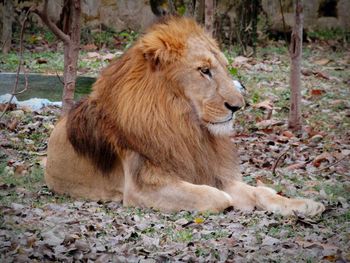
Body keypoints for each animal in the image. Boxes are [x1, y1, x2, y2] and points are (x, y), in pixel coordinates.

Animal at [44, 17, 326, 218]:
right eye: (204, 71)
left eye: (224, 68)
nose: (238, 106)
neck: (183, 122)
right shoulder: (141, 188)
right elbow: (219, 197)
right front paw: (234, 203)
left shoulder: (205, 168)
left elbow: (260, 191)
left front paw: (302, 204)